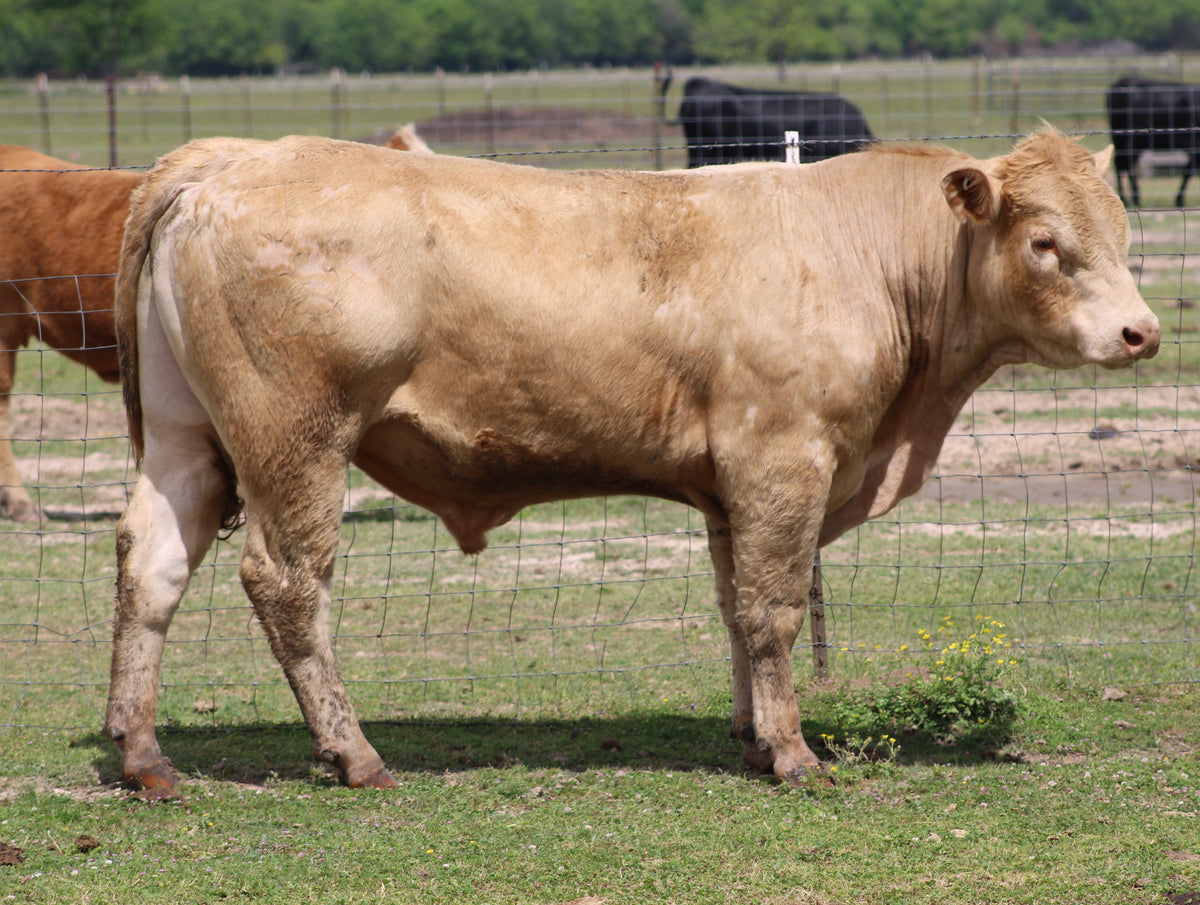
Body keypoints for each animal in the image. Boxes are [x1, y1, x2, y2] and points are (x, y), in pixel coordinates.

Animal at [105, 128, 1158, 793]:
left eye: (1122, 232)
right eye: (1045, 242)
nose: (1140, 331)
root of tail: (230, 157)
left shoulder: (733, 486)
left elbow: (736, 607)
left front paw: (751, 737)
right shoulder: (784, 459)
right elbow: (775, 608)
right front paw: (794, 754)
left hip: (185, 439)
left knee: (151, 564)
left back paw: (144, 755)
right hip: (297, 436)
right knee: (289, 583)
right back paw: (352, 753)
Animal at [1106, 76, 1200, 208]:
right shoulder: (1195, 145)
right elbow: (1188, 171)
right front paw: (1179, 200)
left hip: (1120, 138)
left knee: (1120, 163)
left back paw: (1125, 199)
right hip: (1135, 139)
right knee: (1127, 163)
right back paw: (1135, 198)